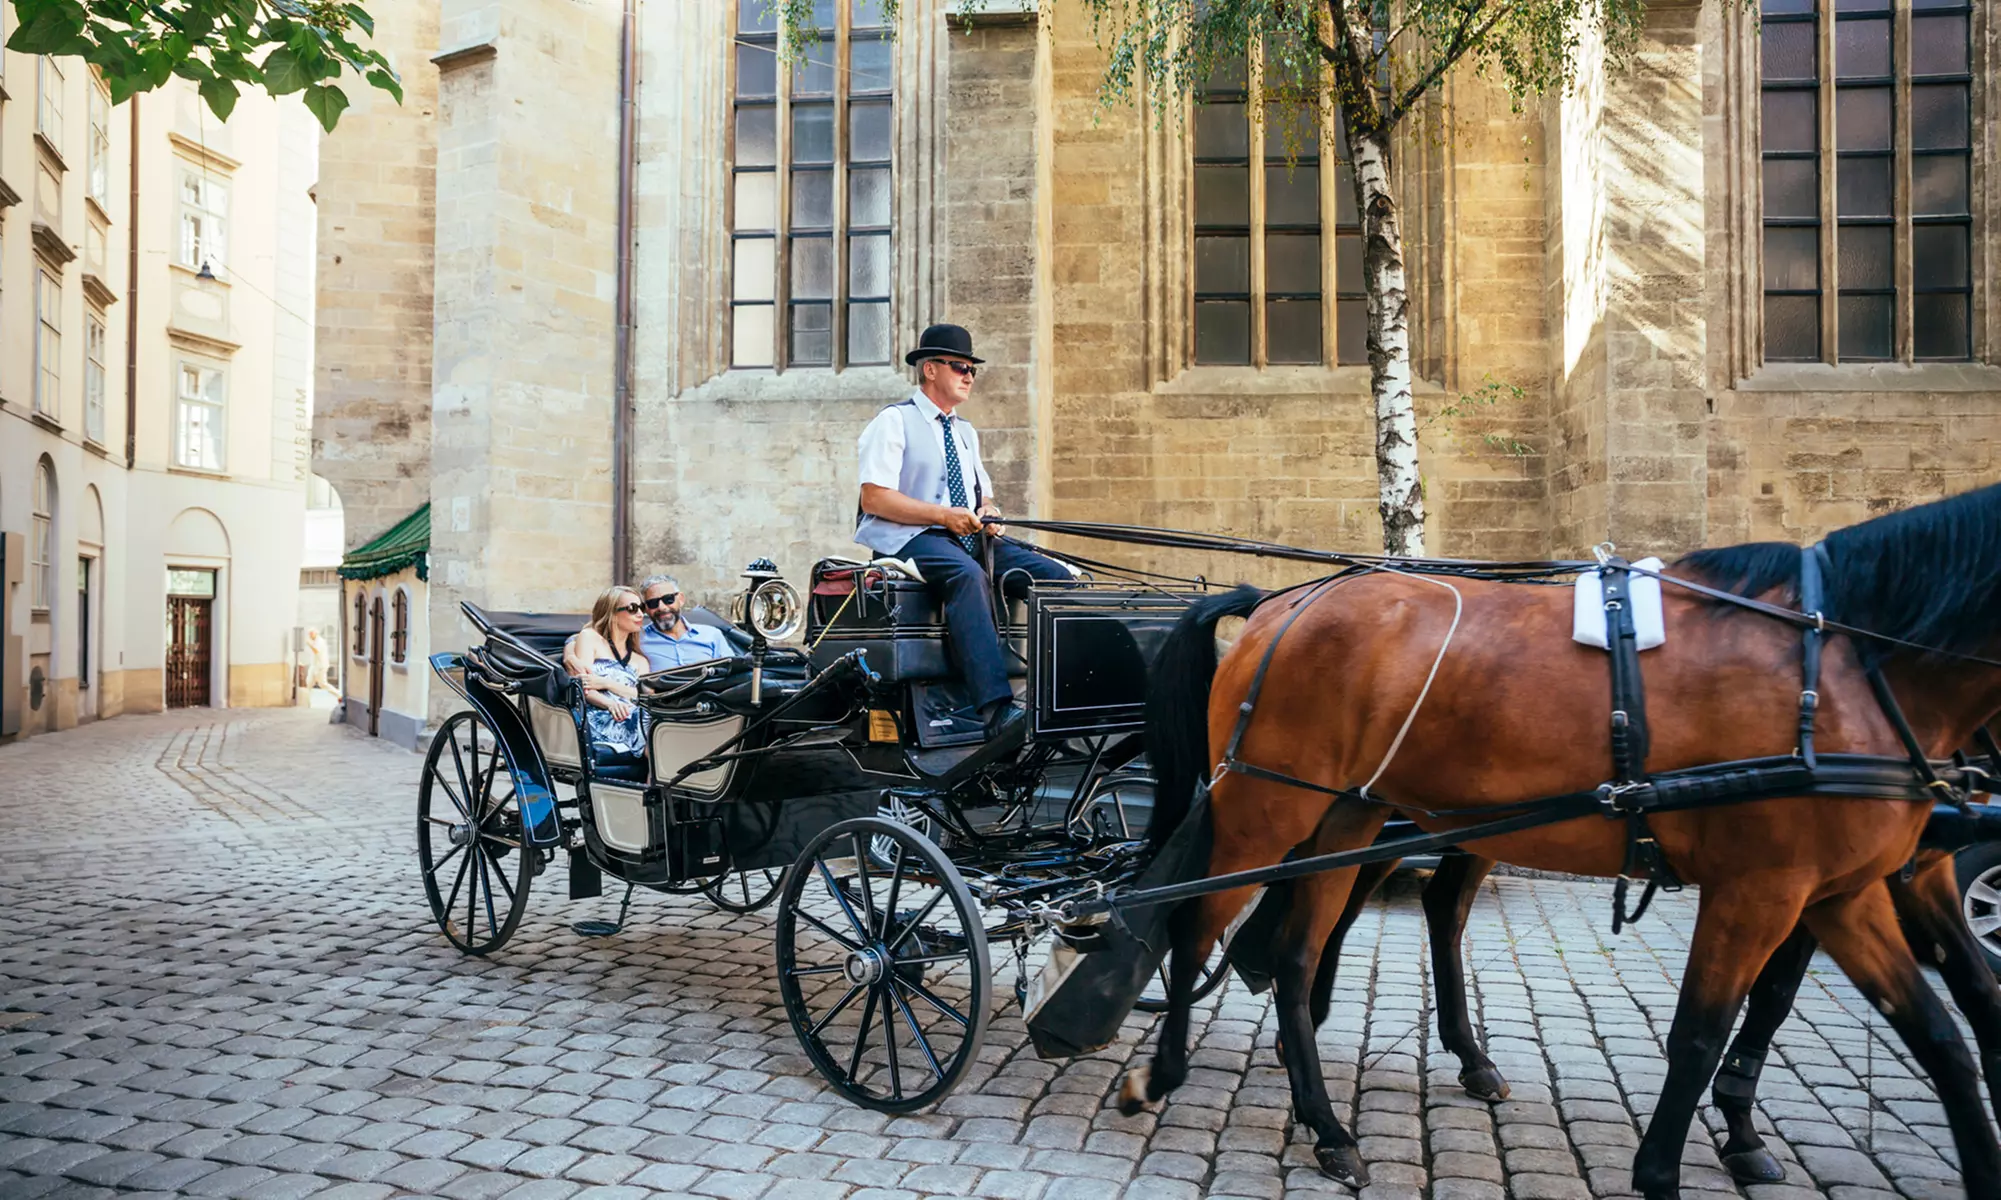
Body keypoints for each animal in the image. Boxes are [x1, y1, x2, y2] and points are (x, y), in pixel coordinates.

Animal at [1124, 483, 2001, 1199]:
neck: (1844, 663)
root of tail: (1281, 605)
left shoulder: (1846, 891)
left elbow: (1947, 1031)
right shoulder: (1762, 888)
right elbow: (1701, 1032)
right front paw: (1668, 1170)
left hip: (1349, 818)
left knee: (1299, 953)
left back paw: (1330, 1124)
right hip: (1265, 810)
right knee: (1195, 922)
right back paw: (1164, 1072)